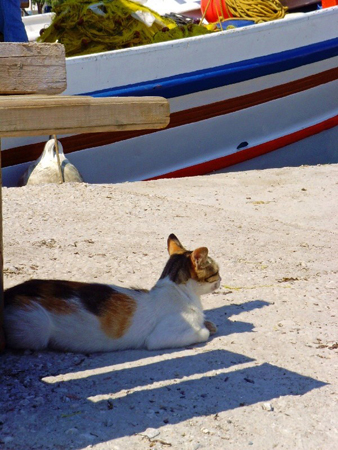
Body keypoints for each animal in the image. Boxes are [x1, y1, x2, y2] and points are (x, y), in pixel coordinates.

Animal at [3, 234, 220, 354]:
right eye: (216, 272)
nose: (221, 279)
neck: (178, 290)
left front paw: (209, 322)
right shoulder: (160, 337)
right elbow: (202, 332)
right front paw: (206, 328)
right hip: (37, 328)